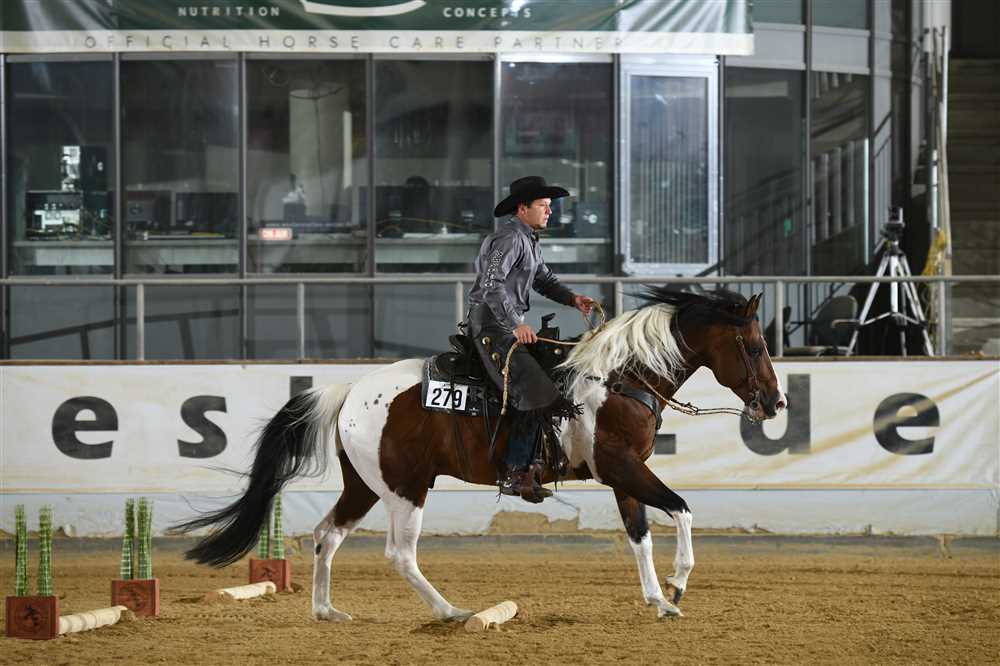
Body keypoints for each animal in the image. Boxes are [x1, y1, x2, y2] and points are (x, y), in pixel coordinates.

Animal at [173, 287, 787, 620]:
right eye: (755, 344)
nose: (776, 403)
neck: (617, 379)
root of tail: (348, 390)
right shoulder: (624, 467)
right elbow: (681, 510)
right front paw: (679, 584)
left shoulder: (620, 476)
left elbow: (639, 537)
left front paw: (660, 600)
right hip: (405, 489)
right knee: (400, 555)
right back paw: (451, 612)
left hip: (365, 486)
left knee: (327, 535)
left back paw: (326, 611)